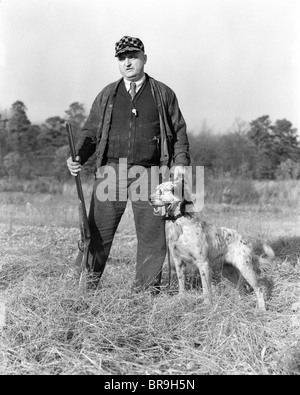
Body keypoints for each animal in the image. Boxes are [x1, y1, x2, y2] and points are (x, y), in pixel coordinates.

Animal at [150, 181, 274, 310]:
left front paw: (207, 305)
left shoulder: (203, 263)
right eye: (156, 189)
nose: (149, 199)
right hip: (228, 272)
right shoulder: (178, 262)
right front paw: (181, 299)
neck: (180, 227)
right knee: (241, 288)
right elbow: (182, 285)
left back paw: (262, 309)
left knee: (258, 289)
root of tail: (244, 240)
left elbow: (206, 289)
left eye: (161, 192)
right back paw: (239, 304)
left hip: (246, 269)